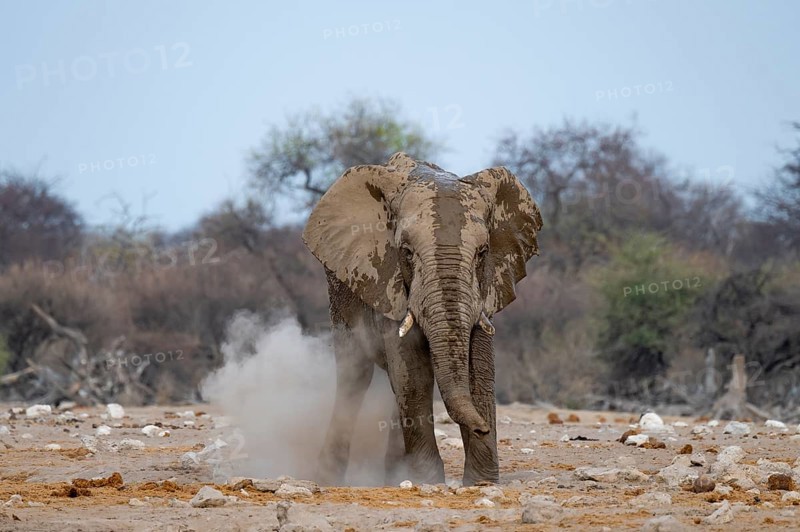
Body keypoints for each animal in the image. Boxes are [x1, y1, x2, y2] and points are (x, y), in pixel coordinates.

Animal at [302, 152, 542, 486]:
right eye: (406, 252)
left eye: (483, 253)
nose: (483, 427)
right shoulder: (388, 281)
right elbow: (412, 372)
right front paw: (429, 481)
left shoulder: (487, 288)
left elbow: (480, 368)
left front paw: (480, 482)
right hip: (340, 292)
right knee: (355, 374)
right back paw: (331, 478)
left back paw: (394, 475)